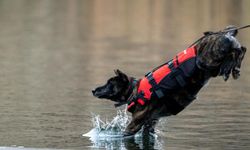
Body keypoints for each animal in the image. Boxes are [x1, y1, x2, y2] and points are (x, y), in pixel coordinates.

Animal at [92, 25, 246, 136]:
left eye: (109, 83)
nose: (94, 90)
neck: (135, 91)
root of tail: (221, 33)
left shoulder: (134, 125)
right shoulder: (150, 123)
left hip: (206, 61)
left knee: (239, 50)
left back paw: (231, 66)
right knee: (241, 48)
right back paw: (234, 67)